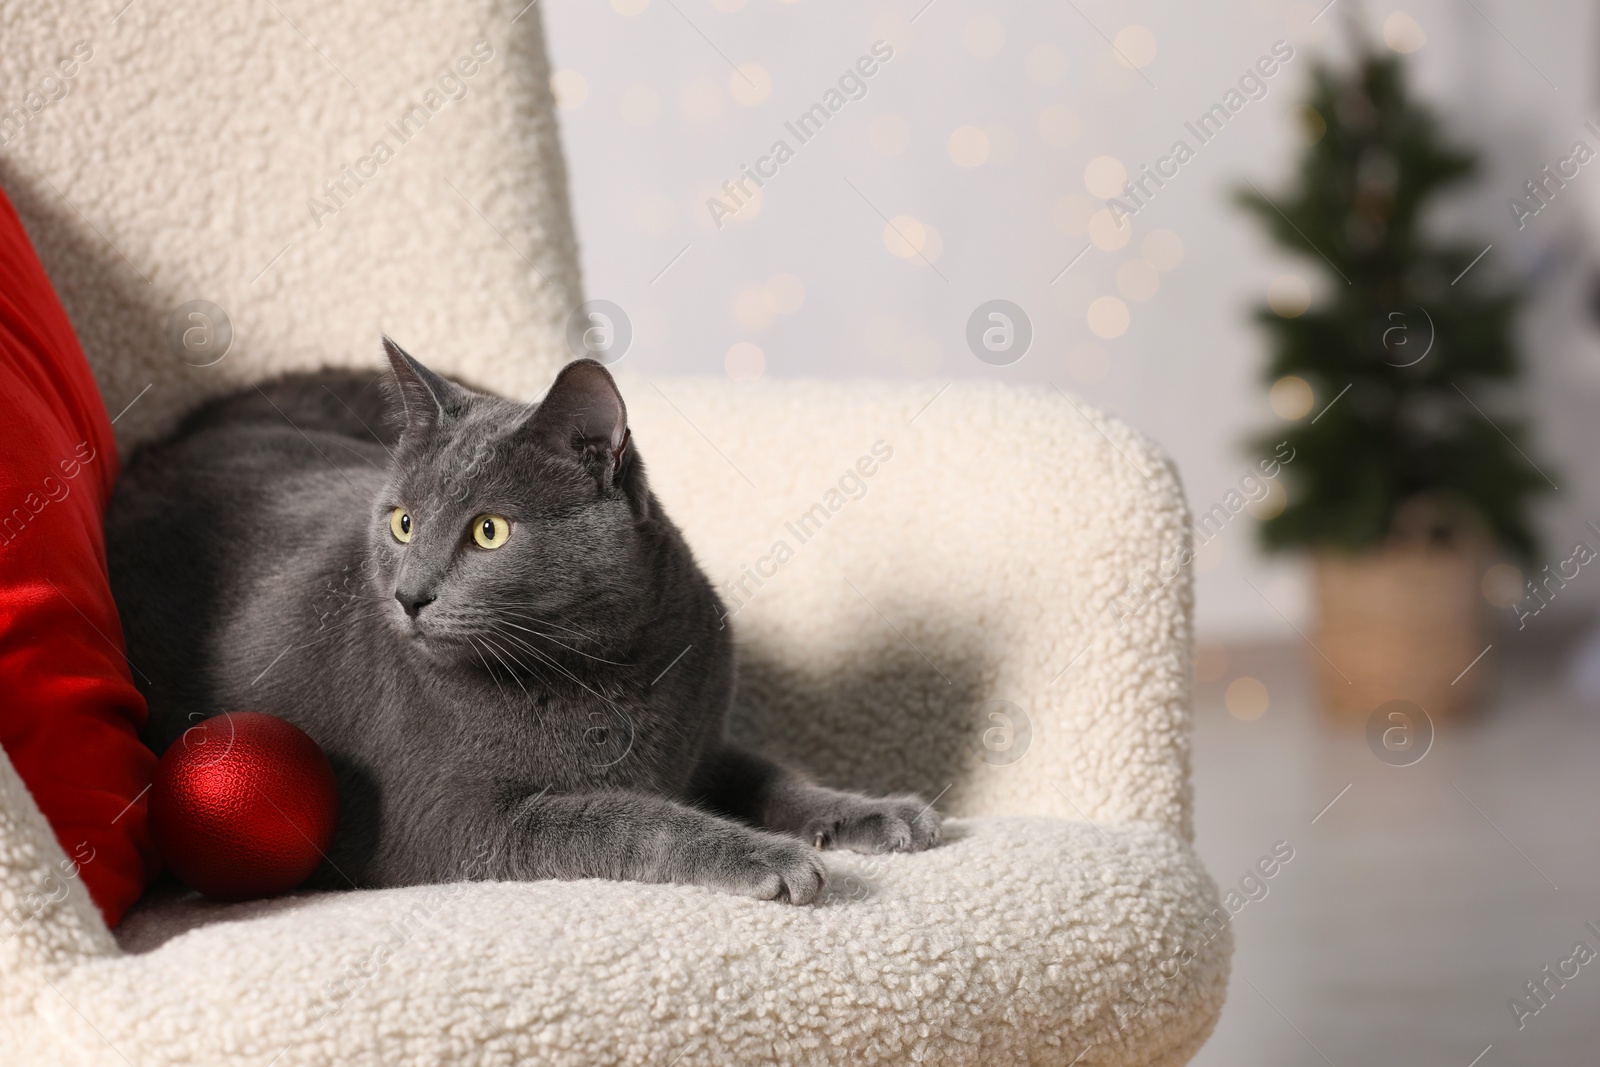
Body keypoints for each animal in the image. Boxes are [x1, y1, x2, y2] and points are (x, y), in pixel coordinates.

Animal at [106, 340, 940, 902]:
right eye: (403, 521)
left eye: (488, 531)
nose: (408, 594)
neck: (605, 670)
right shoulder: (448, 822)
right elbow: (624, 814)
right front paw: (769, 857)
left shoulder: (701, 741)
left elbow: (773, 773)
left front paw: (878, 811)